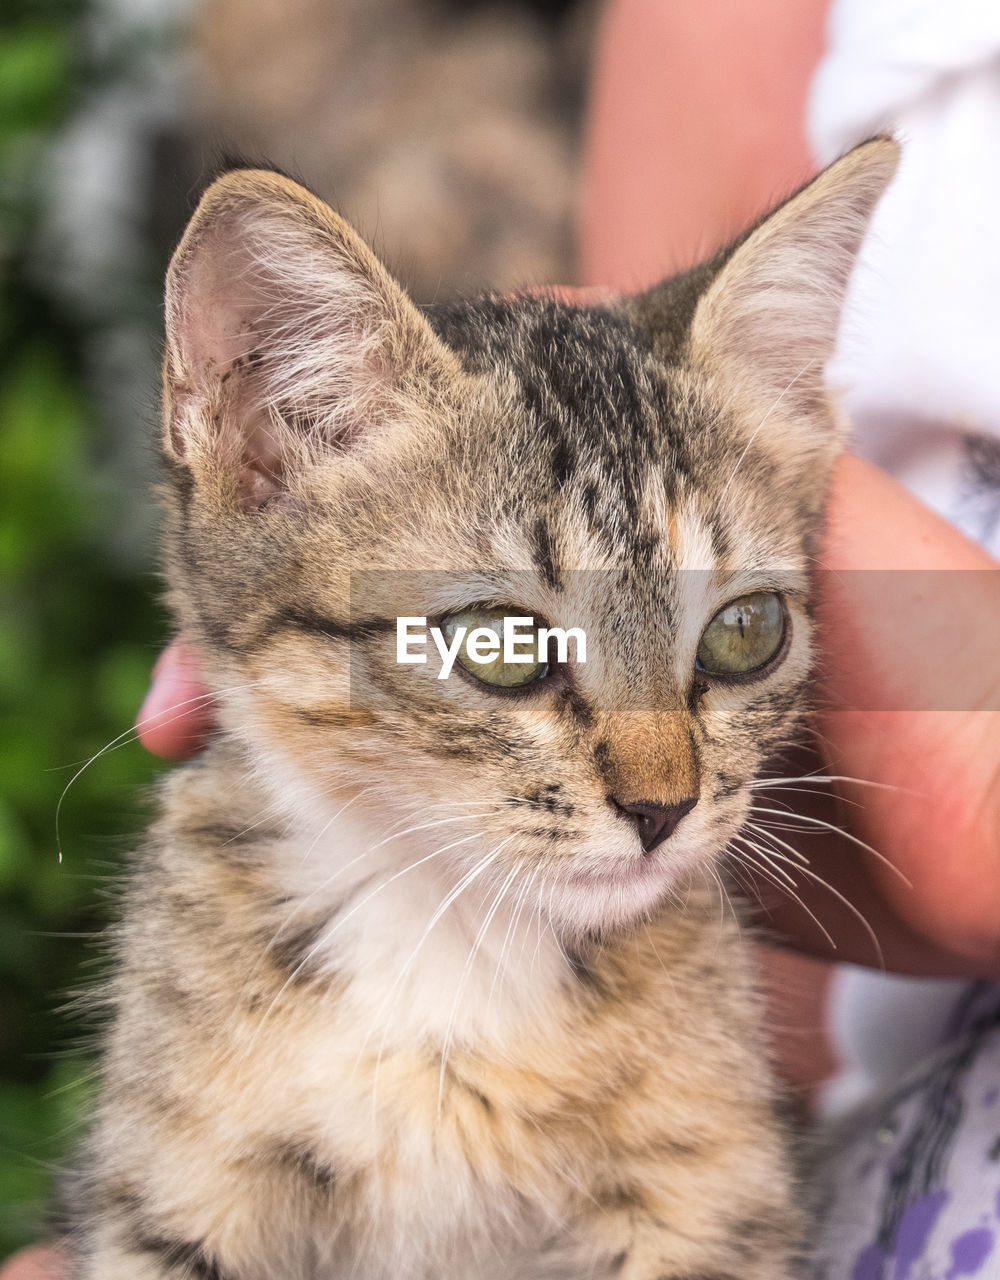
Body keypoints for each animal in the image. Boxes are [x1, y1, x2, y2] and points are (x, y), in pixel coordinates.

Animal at [58, 135, 891, 1274]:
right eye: (499, 643)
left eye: (745, 630)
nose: (663, 808)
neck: (451, 934)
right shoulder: (177, 1189)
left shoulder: (710, 1201)